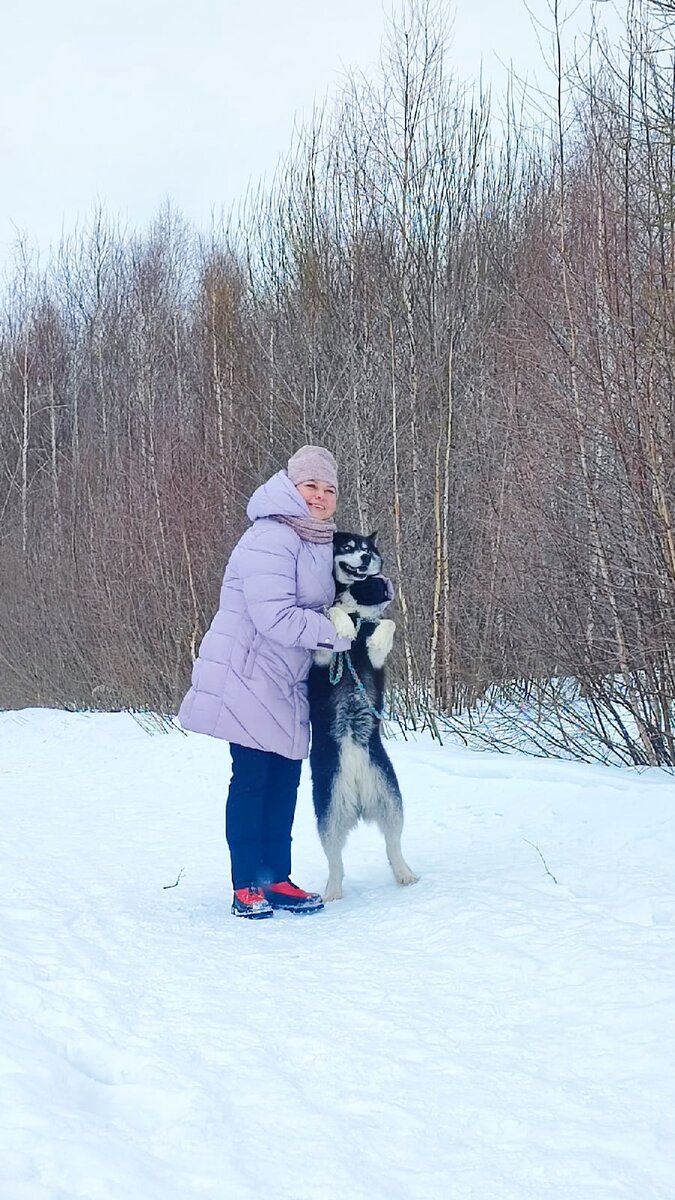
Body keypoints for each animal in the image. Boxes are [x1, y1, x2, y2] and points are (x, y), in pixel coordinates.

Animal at [309, 535, 415, 902]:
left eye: (366, 548)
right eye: (347, 546)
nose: (367, 558)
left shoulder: (375, 656)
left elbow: (387, 624)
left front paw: (378, 630)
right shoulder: (322, 658)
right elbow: (331, 612)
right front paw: (341, 621)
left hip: (391, 800)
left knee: (393, 845)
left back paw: (404, 873)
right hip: (328, 812)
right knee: (335, 860)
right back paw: (331, 891)